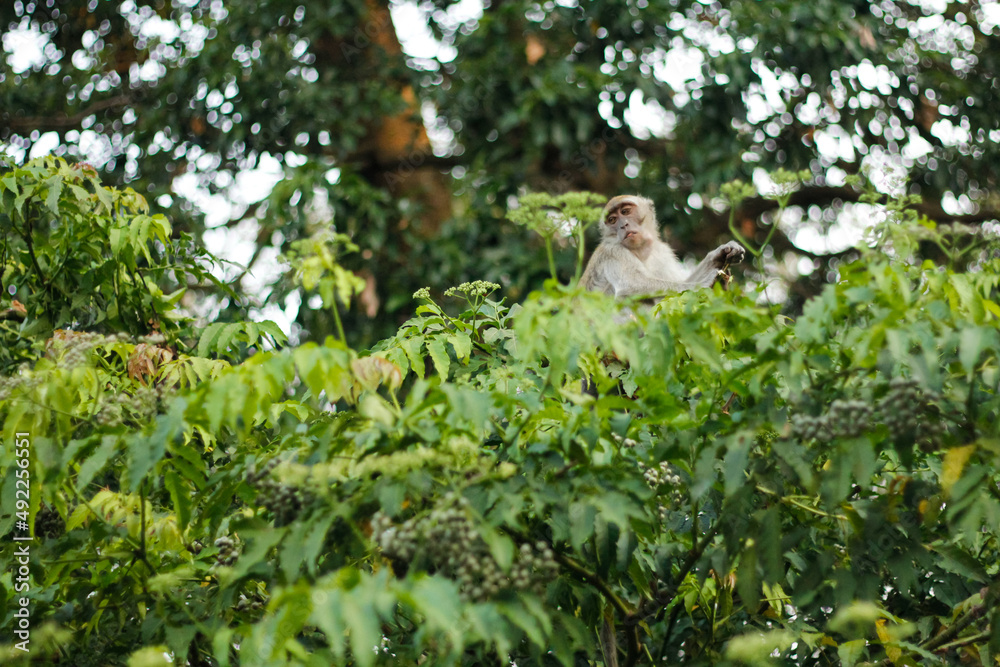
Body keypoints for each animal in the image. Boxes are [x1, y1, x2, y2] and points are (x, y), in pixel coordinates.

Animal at [580, 195, 745, 297]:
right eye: (613, 220)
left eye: (625, 211)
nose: (623, 225)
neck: (640, 251)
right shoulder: (613, 251)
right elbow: (630, 283)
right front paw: (701, 285)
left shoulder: (662, 252)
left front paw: (719, 256)